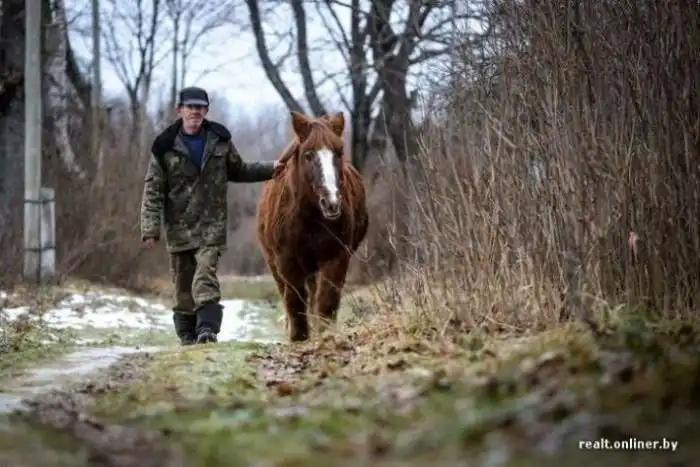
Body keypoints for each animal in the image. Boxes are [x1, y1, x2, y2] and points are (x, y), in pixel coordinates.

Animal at [256, 111, 369, 342]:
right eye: (308, 155)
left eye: (339, 152)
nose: (331, 202)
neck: (310, 218)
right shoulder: (286, 259)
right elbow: (294, 299)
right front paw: (298, 337)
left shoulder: (336, 257)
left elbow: (326, 299)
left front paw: (324, 334)